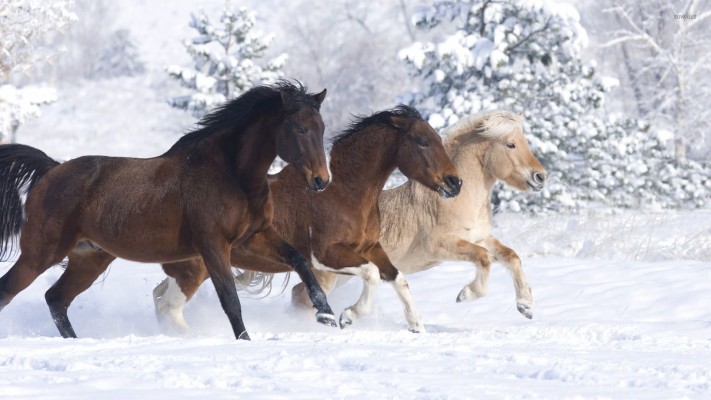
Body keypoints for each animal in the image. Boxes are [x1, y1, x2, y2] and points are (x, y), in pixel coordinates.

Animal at [0, 81, 336, 340]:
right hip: (40, 254)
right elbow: (230, 299)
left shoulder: (255, 237)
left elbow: (300, 261)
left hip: (89, 259)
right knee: (10, 291)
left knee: (56, 299)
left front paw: (328, 316)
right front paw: (245, 342)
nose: (321, 180)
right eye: (300, 128)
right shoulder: (213, 246)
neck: (232, 174)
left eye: (321, 128)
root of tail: (51, 170)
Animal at [154, 104, 464, 332]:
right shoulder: (325, 255)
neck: (343, 191)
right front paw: (348, 316)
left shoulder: (370, 248)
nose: (455, 182)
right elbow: (373, 275)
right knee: (168, 307)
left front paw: (416, 325)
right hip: (194, 270)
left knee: (160, 298)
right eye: (423, 142)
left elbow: (398, 278)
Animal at [292, 110, 548, 322]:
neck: (456, 198)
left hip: (343, 273)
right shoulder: (441, 245)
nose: (541, 177)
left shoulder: (479, 238)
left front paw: (526, 306)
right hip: (329, 274)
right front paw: (465, 295)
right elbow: (484, 258)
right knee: (302, 297)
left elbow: (510, 256)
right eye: (510, 144)